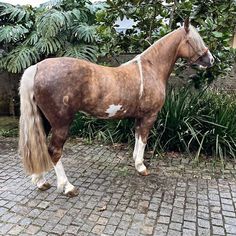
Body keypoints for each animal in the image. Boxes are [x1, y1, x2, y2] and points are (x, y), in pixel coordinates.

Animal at [18, 18, 214, 196]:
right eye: (194, 40)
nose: (211, 60)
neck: (151, 69)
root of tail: (37, 67)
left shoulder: (139, 117)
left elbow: (137, 137)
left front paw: (136, 161)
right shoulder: (150, 116)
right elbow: (144, 140)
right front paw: (141, 167)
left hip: (44, 120)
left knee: (39, 147)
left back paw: (41, 182)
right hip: (61, 124)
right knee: (54, 151)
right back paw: (67, 187)